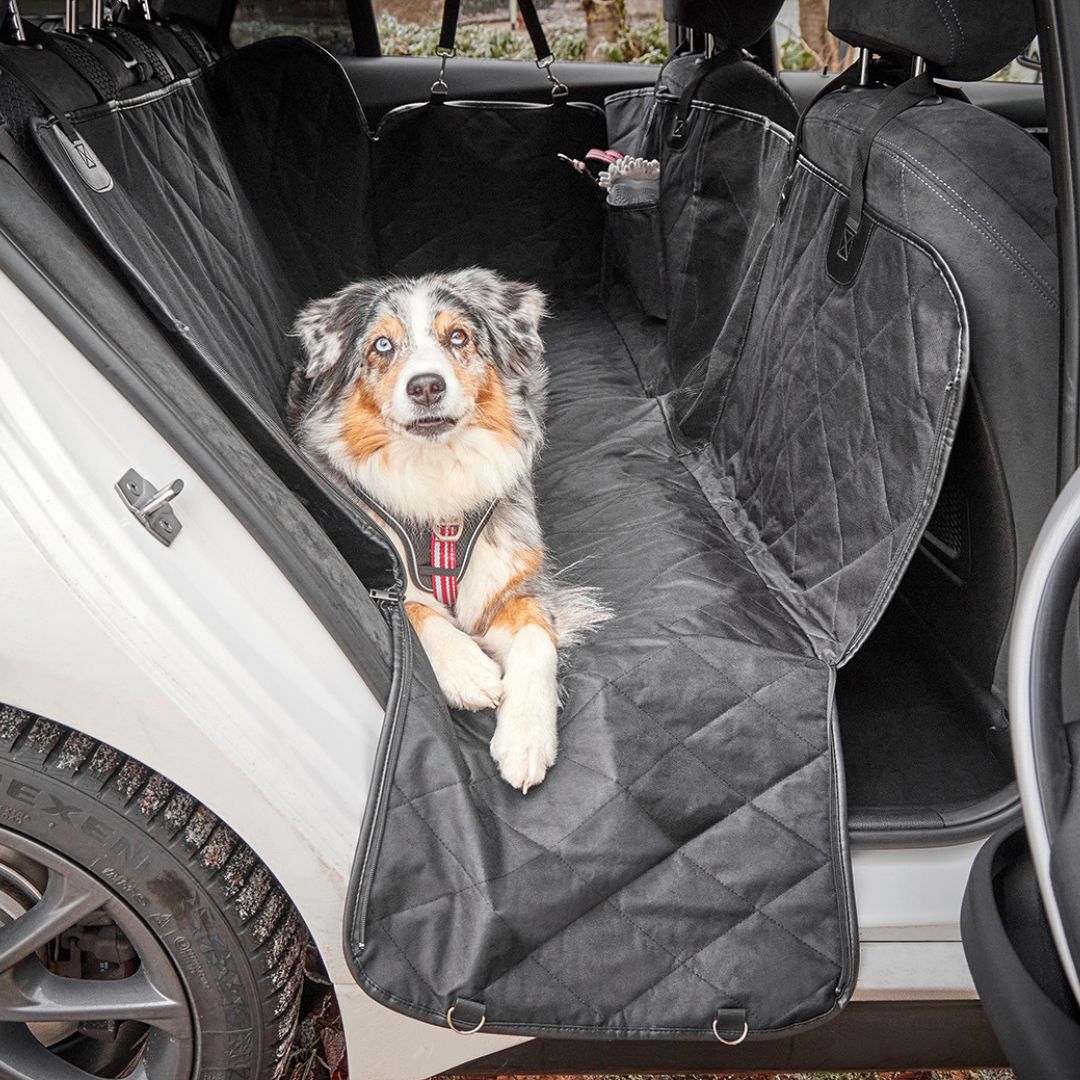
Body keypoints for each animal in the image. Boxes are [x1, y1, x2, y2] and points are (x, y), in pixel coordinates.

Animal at [287, 267, 609, 794]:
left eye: (457, 337)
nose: (426, 387)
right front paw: (467, 669)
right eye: (381, 345)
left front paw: (525, 737)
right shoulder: (378, 559)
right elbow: (415, 610)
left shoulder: (513, 574)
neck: (437, 474)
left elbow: (537, 636)